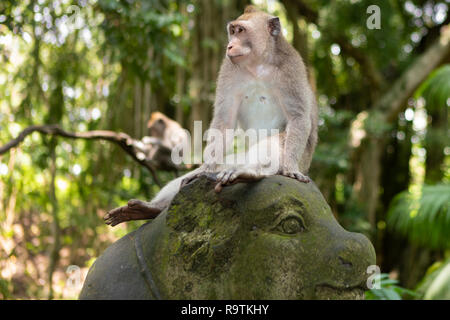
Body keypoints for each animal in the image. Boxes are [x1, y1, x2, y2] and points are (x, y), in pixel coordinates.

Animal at [103, 6, 318, 228]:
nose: (230, 45)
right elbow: (224, 119)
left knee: (273, 145)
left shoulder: (292, 68)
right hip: (229, 162)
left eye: (241, 30)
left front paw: (290, 167)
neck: (258, 65)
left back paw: (249, 174)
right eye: (232, 31)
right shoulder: (228, 69)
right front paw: (202, 169)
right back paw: (150, 208)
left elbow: (298, 118)